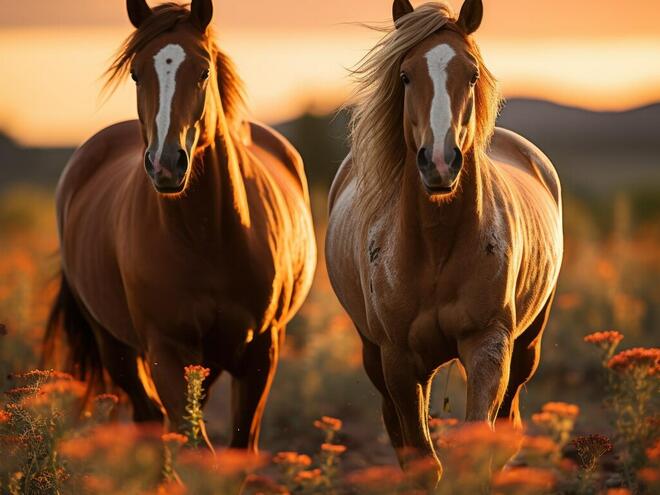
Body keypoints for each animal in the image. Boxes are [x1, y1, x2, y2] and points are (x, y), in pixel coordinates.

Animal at [44, 0, 318, 454]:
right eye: (136, 73)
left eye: (203, 70)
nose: (166, 164)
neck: (210, 238)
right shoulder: (166, 352)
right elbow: (193, 443)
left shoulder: (261, 352)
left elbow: (239, 447)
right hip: (115, 347)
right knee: (148, 418)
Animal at [324, 0, 564, 486]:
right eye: (404, 75)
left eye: (471, 74)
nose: (439, 162)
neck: (437, 249)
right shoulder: (398, 359)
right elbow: (421, 460)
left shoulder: (489, 345)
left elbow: (479, 447)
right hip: (373, 353)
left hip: (527, 345)